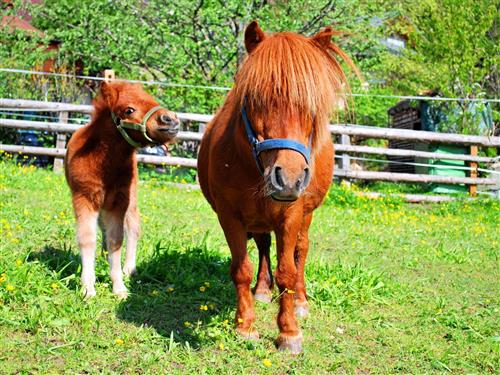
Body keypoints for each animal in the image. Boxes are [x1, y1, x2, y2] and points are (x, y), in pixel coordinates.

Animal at [65, 81, 180, 300]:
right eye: (129, 110)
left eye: (151, 98)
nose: (171, 119)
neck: (102, 163)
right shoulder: (84, 198)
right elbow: (87, 238)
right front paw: (88, 288)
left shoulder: (118, 201)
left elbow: (116, 239)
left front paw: (119, 287)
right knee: (103, 227)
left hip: (131, 198)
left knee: (133, 227)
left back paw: (129, 269)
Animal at [197, 22, 358, 354]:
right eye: (254, 99)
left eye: (313, 108)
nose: (290, 179)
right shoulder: (230, 217)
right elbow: (241, 269)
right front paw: (245, 325)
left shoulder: (291, 215)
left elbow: (287, 271)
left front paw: (289, 332)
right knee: (262, 246)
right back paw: (261, 289)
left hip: (306, 215)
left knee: (301, 251)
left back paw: (300, 301)